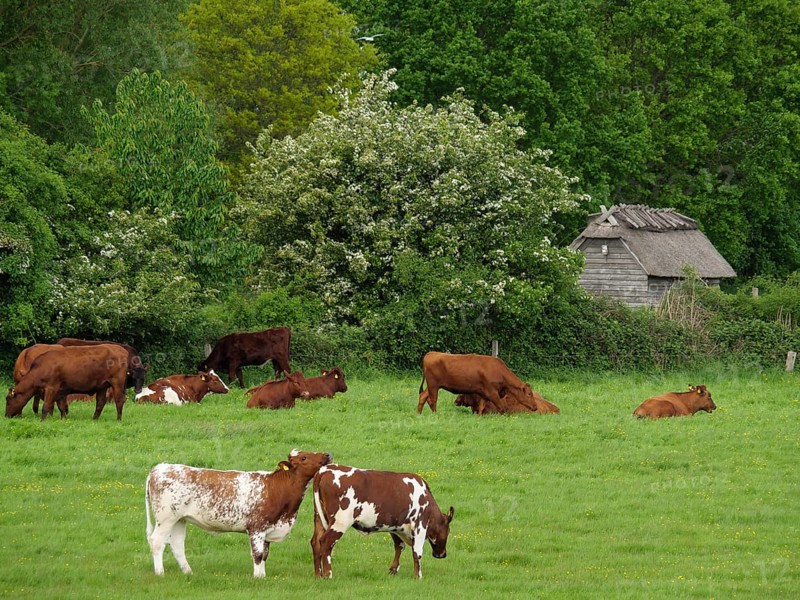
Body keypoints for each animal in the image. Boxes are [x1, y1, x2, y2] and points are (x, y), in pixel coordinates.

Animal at [145, 449, 332, 578]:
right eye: (304, 458)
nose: (327, 455)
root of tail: (160, 467)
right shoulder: (257, 527)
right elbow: (257, 554)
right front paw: (257, 578)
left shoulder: (268, 528)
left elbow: (265, 555)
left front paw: (263, 576)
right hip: (166, 518)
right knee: (157, 542)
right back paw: (160, 572)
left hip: (180, 519)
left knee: (177, 545)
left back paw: (188, 572)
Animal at [311, 464, 454, 579]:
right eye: (448, 531)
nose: (442, 554)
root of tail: (325, 470)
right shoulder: (420, 525)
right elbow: (417, 552)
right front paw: (418, 577)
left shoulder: (396, 527)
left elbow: (399, 546)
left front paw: (393, 571)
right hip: (340, 521)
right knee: (325, 542)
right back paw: (328, 575)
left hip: (319, 518)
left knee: (315, 542)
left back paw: (318, 575)